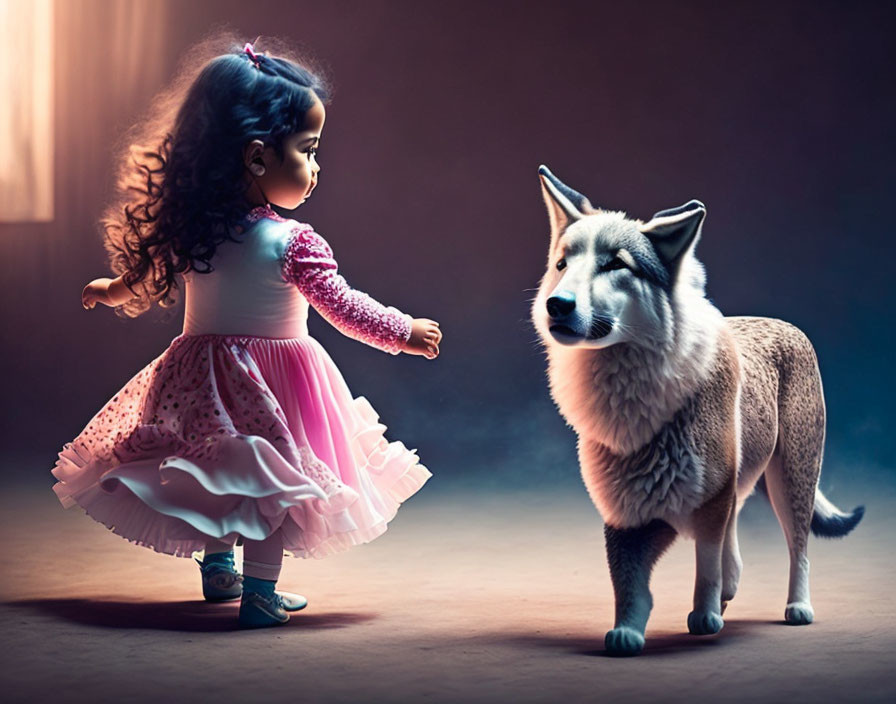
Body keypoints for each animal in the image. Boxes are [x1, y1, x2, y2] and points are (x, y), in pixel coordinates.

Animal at [532, 165, 860, 656]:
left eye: (615, 265)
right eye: (562, 265)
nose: (558, 304)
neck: (631, 398)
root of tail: (786, 324)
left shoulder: (708, 499)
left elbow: (705, 564)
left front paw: (704, 616)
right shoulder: (626, 509)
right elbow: (628, 584)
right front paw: (628, 630)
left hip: (790, 481)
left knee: (798, 547)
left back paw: (796, 607)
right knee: (737, 545)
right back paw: (731, 594)